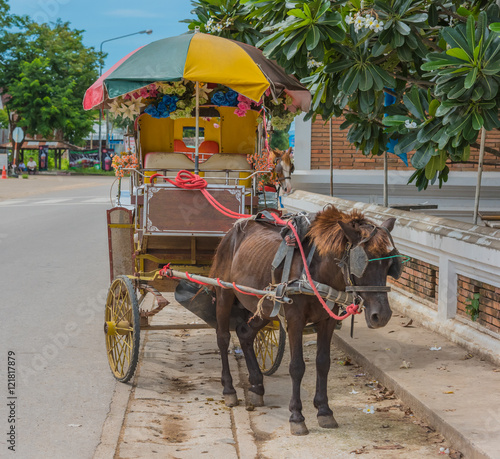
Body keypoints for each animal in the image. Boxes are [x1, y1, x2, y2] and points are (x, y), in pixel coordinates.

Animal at [209, 205, 400, 434]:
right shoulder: (294, 320)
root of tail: (233, 231)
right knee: (223, 338)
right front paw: (297, 416)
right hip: (224, 292)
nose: (382, 315)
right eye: (362, 263)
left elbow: (323, 363)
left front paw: (324, 410)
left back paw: (256, 385)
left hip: (265, 307)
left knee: (245, 333)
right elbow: (297, 367)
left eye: (389, 264)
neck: (316, 272)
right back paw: (229, 389)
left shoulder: (327, 321)